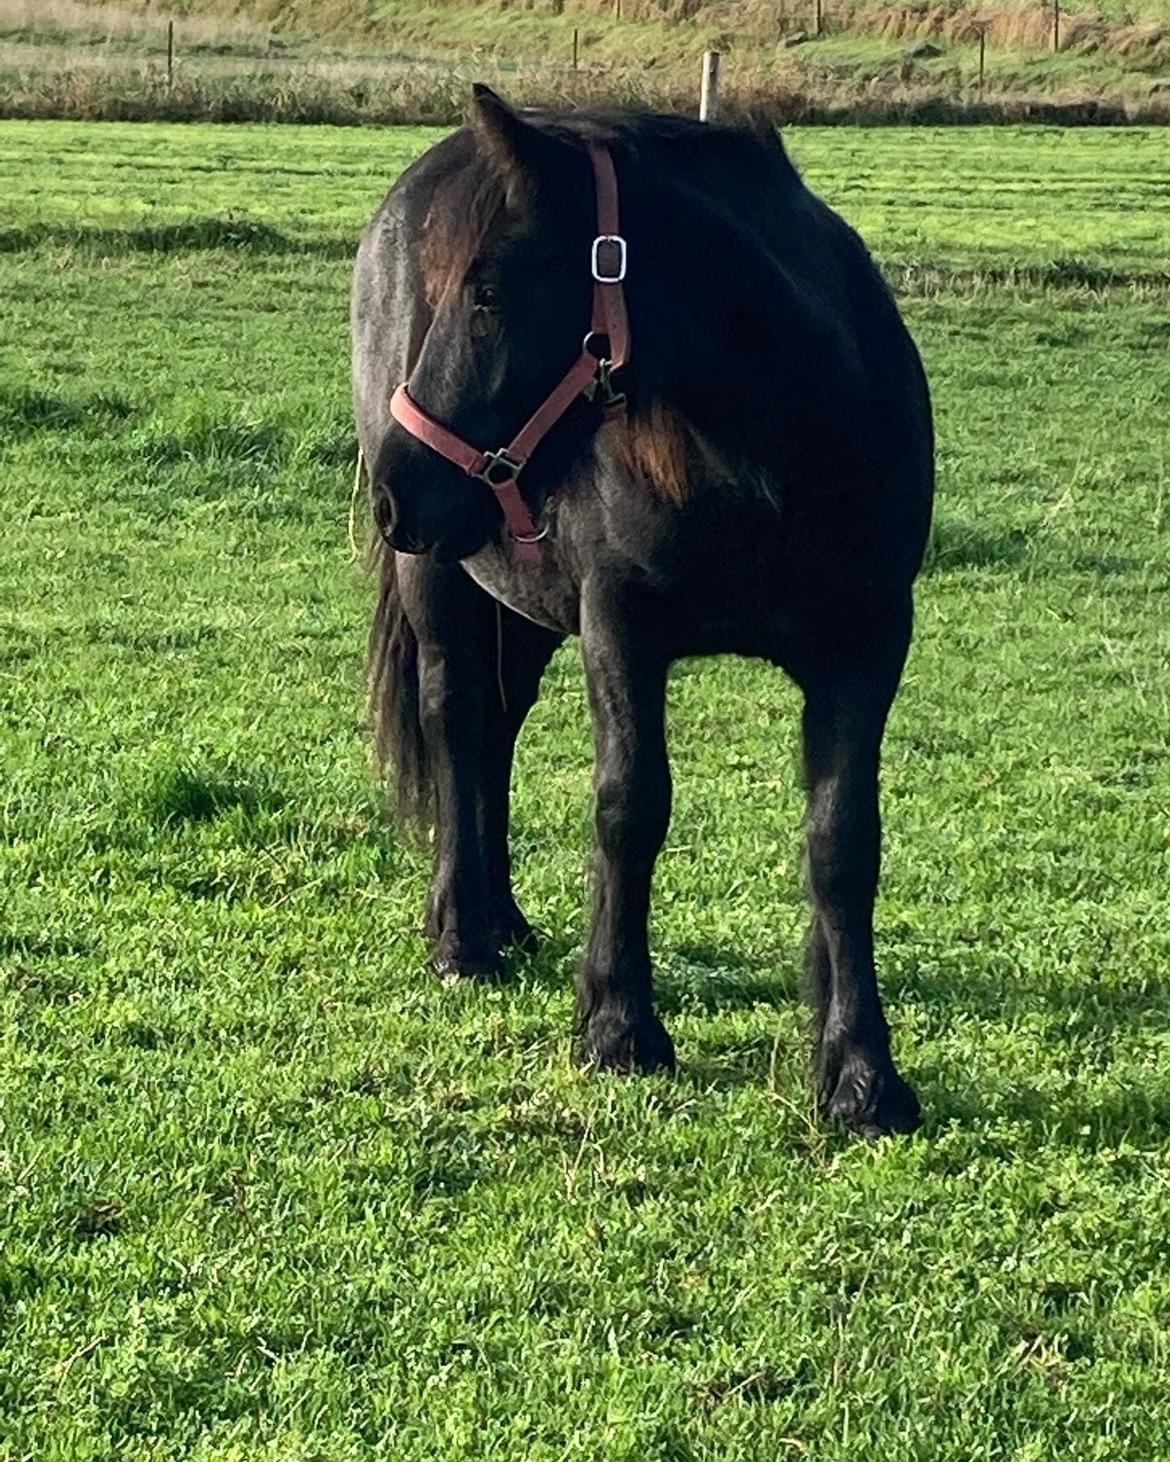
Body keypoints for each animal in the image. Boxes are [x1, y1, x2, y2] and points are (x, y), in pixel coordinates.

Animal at [352, 86, 934, 1137]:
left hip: (520, 606)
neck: (780, 447)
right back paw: (461, 933)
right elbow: (631, 807)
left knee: (495, 730)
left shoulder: (868, 646)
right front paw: (619, 1025)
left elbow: (843, 840)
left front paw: (861, 1071)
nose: (396, 488)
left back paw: (502, 919)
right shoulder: (620, 628)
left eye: (488, 292)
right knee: (455, 719)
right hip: (443, 582)